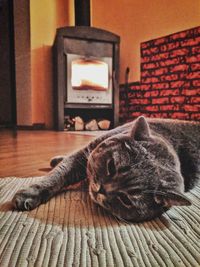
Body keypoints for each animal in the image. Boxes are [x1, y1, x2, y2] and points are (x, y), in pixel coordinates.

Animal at [12, 117, 200, 224]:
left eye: (126, 200)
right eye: (111, 166)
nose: (101, 189)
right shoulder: (84, 154)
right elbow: (57, 176)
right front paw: (30, 194)